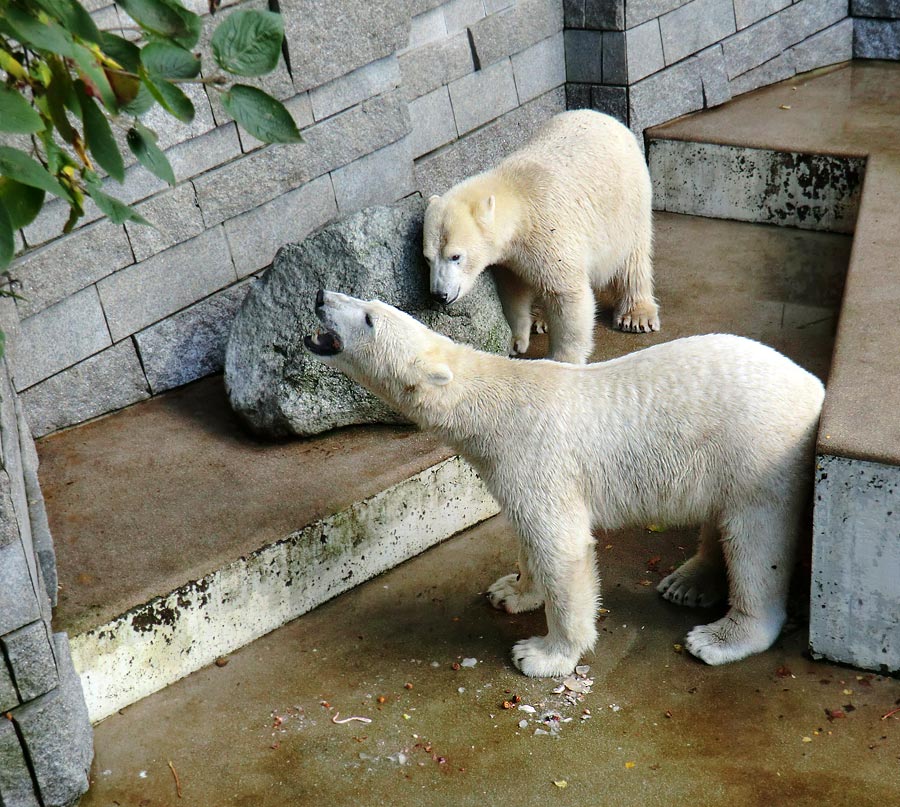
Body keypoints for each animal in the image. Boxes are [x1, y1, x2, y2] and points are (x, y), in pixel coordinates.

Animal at [306, 290, 828, 676]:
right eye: (365, 300)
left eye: (369, 318)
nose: (320, 295)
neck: (492, 403)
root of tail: (815, 386)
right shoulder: (509, 468)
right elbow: (527, 533)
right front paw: (511, 591)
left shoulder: (537, 455)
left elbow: (562, 546)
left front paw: (542, 654)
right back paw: (689, 582)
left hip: (759, 450)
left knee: (755, 540)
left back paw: (721, 636)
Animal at [422, 109, 660, 362]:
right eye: (427, 258)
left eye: (456, 256)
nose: (439, 295)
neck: (517, 199)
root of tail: (602, 115)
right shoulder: (510, 257)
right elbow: (513, 291)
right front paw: (516, 340)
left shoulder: (549, 230)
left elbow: (566, 293)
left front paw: (563, 359)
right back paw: (539, 319)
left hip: (626, 206)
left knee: (632, 260)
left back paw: (636, 316)